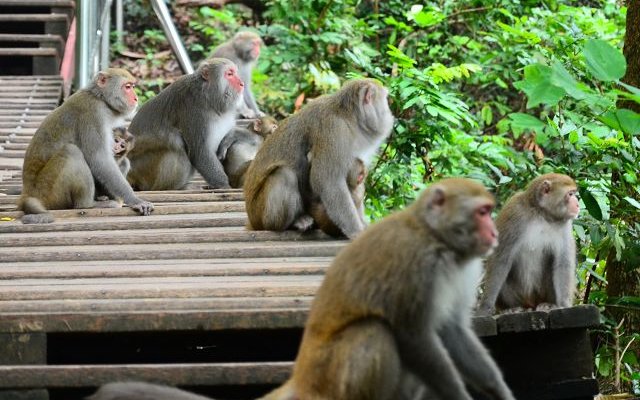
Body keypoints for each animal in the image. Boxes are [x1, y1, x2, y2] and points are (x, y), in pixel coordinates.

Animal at [17, 67, 154, 223]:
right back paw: (87, 204)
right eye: (128, 87)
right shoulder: (93, 114)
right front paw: (135, 200)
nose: (136, 98)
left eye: (132, 86)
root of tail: (28, 193)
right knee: (71, 151)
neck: (100, 99)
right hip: (48, 191)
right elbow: (99, 159)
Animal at [125, 57, 245, 192]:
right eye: (229, 74)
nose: (242, 83)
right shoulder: (194, 110)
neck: (208, 96)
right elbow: (200, 152)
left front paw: (228, 141)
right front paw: (224, 185)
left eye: (235, 73)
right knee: (175, 141)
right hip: (142, 169)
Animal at [245, 79, 396, 239]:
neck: (349, 118)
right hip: (260, 213)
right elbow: (329, 182)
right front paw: (357, 231)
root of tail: (252, 220)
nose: (390, 112)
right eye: (385, 100)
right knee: (284, 174)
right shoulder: (333, 129)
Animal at [478, 173, 584, 316]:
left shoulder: (565, 225)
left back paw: (547, 304)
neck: (542, 214)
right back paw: (511, 308)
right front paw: (485, 307)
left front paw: (563, 305)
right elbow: (500, 261)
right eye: (570, 194)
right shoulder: (514, 211)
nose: (577, 204)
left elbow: (563, 263)